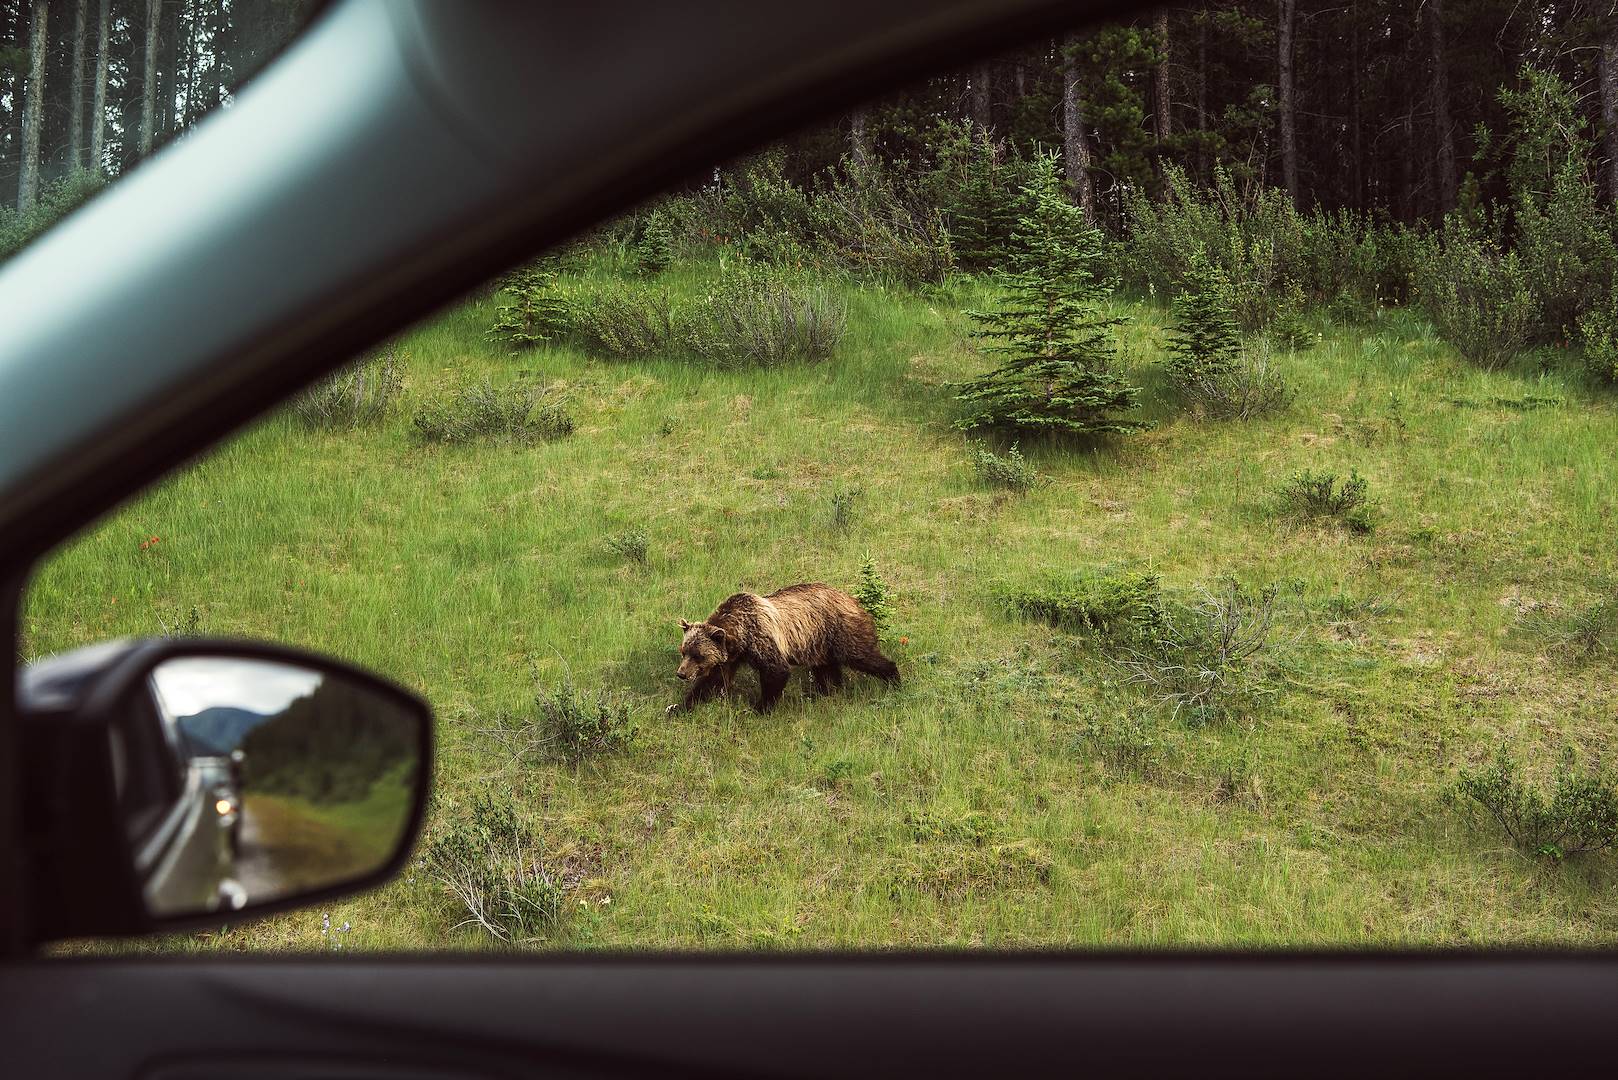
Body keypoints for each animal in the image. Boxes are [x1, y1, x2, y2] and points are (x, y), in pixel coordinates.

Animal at [670, 582, 900, 715]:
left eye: (698, 655)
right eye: (684, 651)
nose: (681, 673)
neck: (740, 638)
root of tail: (854, 599)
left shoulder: (761, 638)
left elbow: (776, 671)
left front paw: (759, 709)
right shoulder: (730, 657)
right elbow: (712, 682)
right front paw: (679, 707)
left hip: (840, 630)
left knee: (862, 656)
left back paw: (894, 679)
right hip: (819, 643)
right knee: (826, 670)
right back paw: (822, 693)